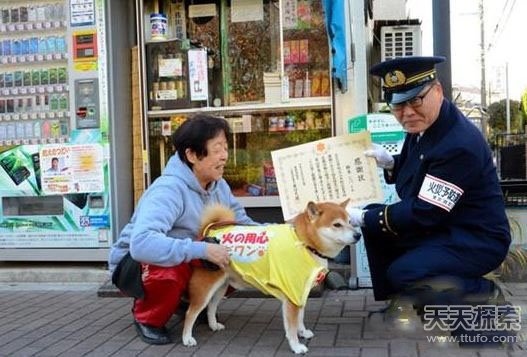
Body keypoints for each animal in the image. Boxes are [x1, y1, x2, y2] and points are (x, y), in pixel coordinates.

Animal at [184, 199, 360, 352]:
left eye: (350, 221)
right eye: (337, 224)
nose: (358, 235)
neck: (304, 243)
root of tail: (210, 230)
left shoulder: (300, 292)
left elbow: (300, 319)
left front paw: (302, 332)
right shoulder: (292, 296)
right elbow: (291, 327)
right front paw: (296, 347)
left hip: (222, 287)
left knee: (211, 307)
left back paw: (214, 325)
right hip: (205, 288)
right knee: (191, 313)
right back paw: (187, 339)